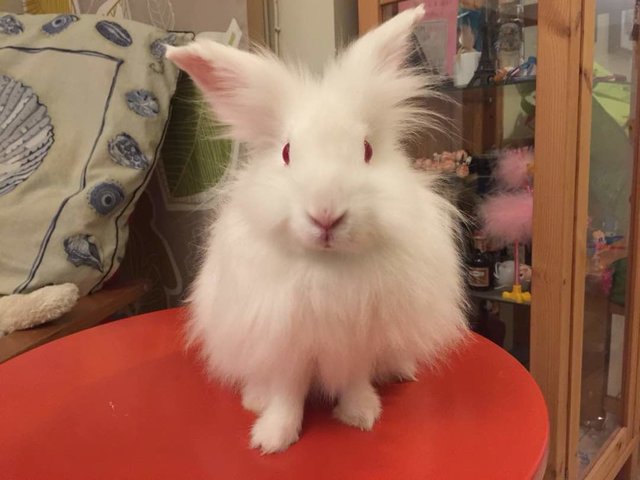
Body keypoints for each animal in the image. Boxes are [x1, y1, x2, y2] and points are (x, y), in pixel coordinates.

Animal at [162, 3, 468, 454]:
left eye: (367, 150)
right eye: (287, 152)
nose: (326, 215)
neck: (328, 267)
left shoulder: (358, 339)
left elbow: (355, 378)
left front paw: (360, 415)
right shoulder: (285, 339)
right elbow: (287, 391)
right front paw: (272, 438)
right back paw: (255, 399)